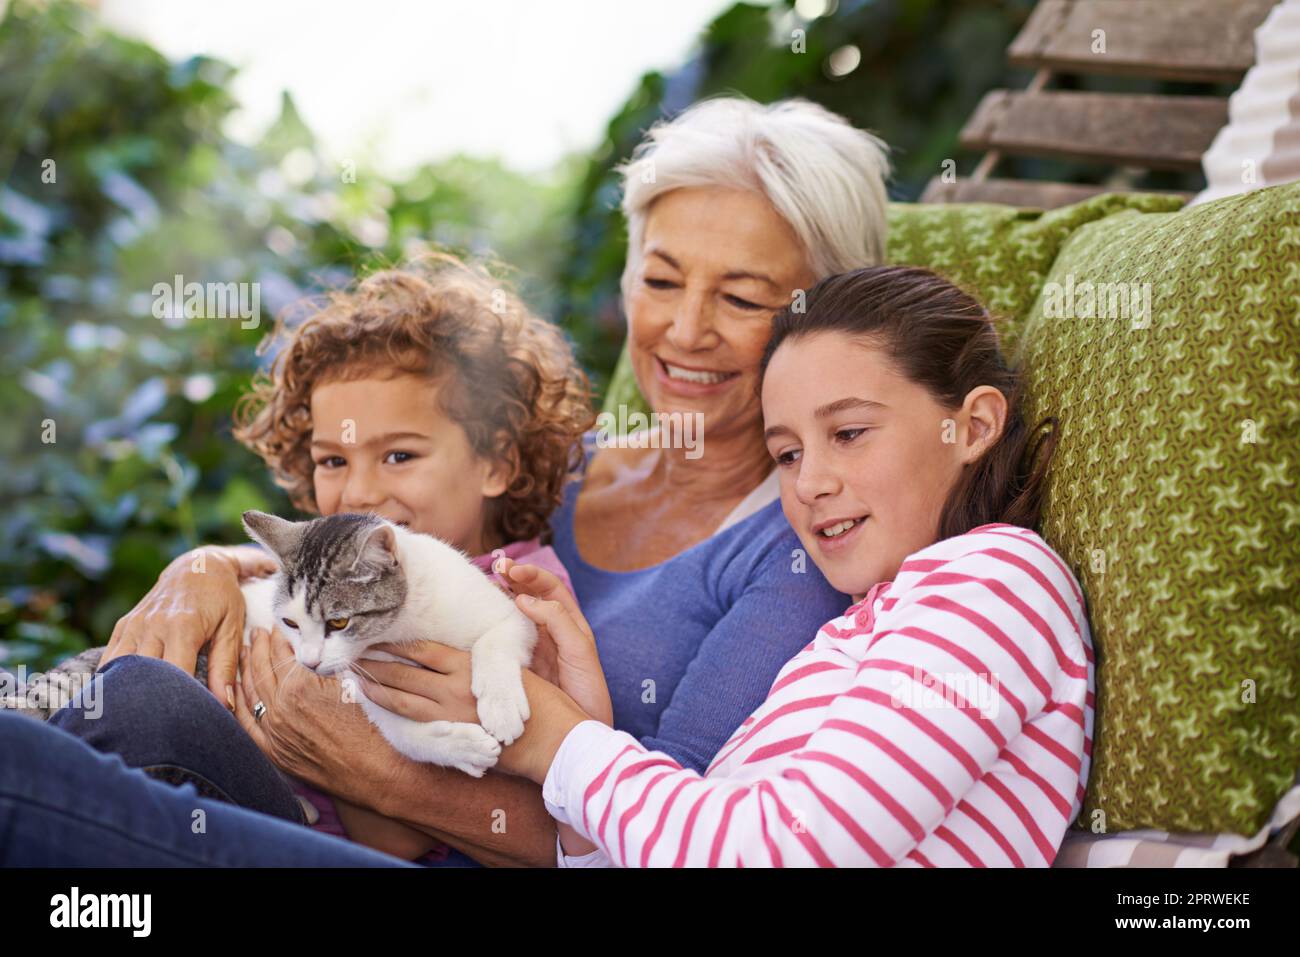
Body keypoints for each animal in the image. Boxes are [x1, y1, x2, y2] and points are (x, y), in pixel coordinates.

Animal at [236, 509, 535, 780]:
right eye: (290, 623)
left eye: (338, 622)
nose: (309, 662)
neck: (399, 629)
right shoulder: (365, 682)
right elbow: (401, 734)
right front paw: (463, 747)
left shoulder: (514, 615)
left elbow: (495, 641)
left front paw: (501, 706)